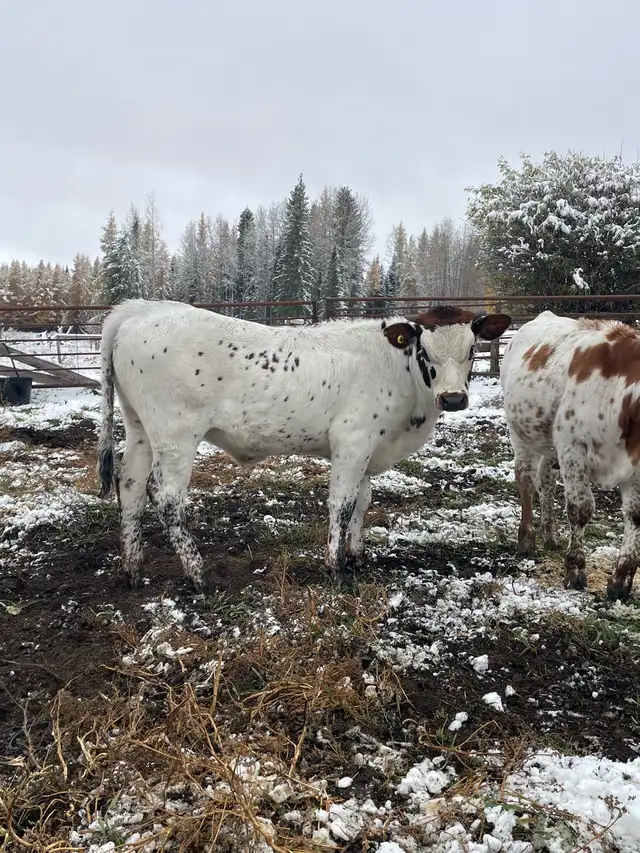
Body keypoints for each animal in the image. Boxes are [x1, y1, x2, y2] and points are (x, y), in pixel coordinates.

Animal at [97, 299, 511, 592]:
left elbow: (363, 500)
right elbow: (342, 505)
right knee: (164, 496)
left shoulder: (367, 447)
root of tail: (141, 310)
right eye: (424, 351)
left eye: (472, 350)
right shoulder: (352, 440)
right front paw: (336, 569)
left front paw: (357, 557)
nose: (453, 398)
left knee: (131, 486)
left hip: (141, 429)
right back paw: (198, 575)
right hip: (176, 434)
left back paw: (132, 569)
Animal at [501, 310, 640, 601]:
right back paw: (527, 539)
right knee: (526, 481)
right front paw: (575, 571)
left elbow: (635, 515)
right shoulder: (573, 448)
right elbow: (580, 509)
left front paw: (621, 580)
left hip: (548, 445)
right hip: (520, 433)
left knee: (546, 482)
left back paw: (550, 536)